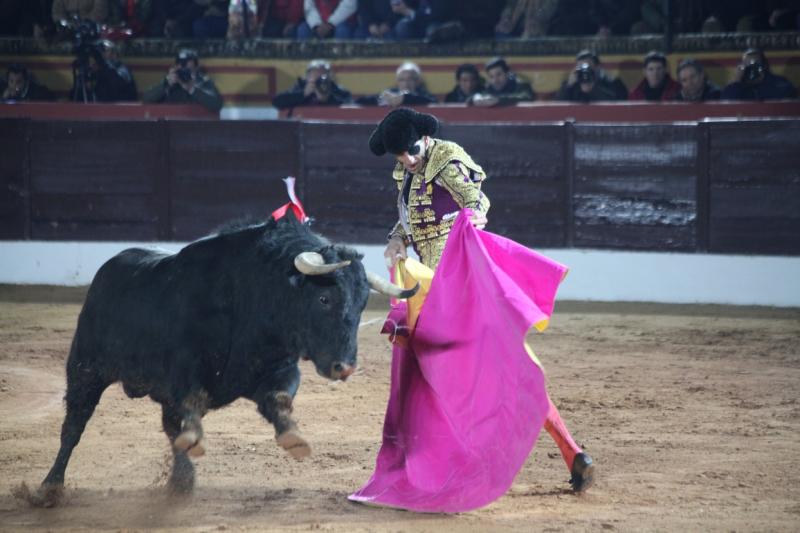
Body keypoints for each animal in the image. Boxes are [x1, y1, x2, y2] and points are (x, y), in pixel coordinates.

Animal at [21, 214, 416, 504]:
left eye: (363, 302)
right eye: (324, 299)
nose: (344, 366)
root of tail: (111, 266)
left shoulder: (279, 368)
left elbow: (279, 399)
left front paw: (293, 438)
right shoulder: (183, 370)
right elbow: (193, 400)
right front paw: (196, 439)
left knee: (168, 426)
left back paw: (181, 480)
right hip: (85, 368)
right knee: (74, 426)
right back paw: (49, 488)